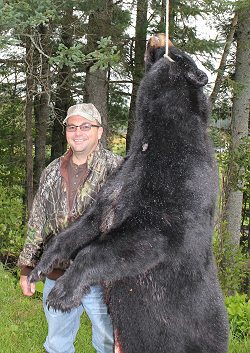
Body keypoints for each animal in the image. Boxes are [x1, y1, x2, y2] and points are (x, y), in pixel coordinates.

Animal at [29, 33, 229, 352]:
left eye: (181, 56)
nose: (161, 35)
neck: (155, 139)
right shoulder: (116, 184)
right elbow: (85, 225)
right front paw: (42, 264)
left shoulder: (180, 186)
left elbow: (140, 238)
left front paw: (62, 293)